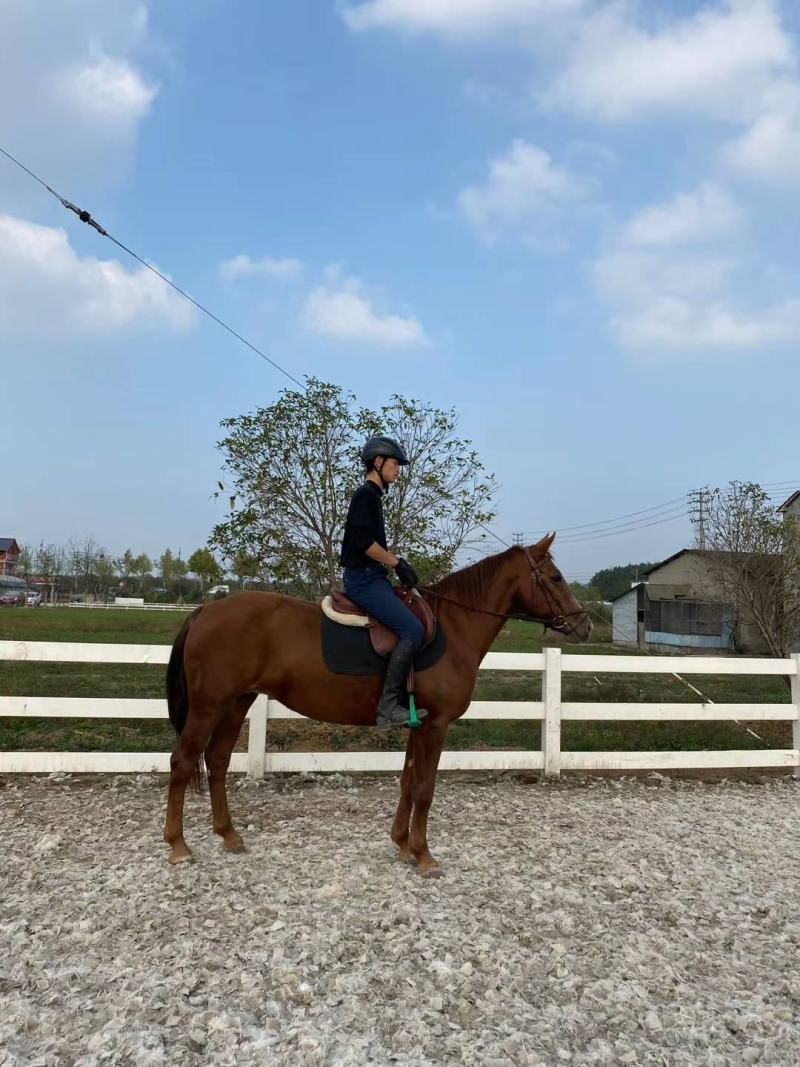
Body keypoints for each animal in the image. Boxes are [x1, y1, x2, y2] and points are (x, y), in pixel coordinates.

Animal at [163, 533, 591, 875]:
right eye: (555, 578)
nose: (584, 625)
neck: (453, 628)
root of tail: (205, 610)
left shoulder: (417, 725)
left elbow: (408, 782)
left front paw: (402, 844)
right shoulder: (436, 725)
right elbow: (425, 788)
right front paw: (424, 855)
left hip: (237, 703)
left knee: (218, 761)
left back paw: (229, 836)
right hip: (208, 706)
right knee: (183, 762)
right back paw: (179, 846)